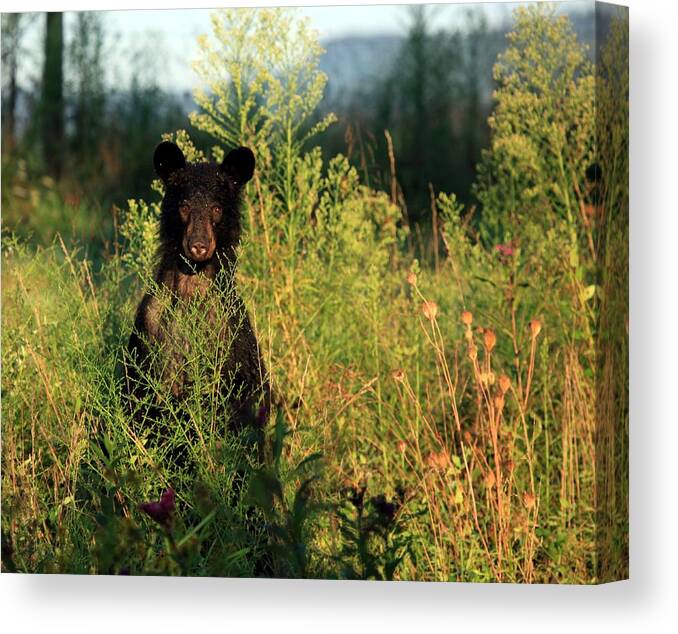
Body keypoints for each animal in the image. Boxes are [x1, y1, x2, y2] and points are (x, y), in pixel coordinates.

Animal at [126, 141, 270, 442]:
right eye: (184, 206)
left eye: (216, 208)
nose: (199, 245)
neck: (192, 286)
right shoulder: (149, 326)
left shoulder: (230, 334)